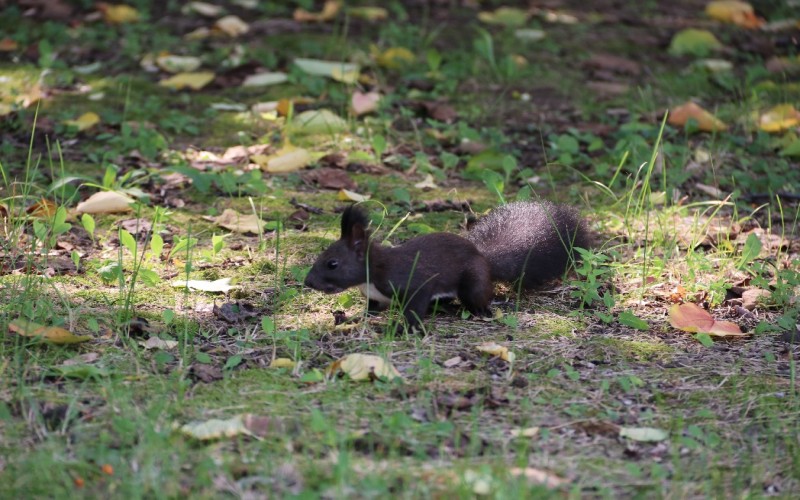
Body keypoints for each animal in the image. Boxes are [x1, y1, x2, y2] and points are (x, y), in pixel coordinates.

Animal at [304, 201, 588, 330]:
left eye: (332, 264)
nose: (308, 282)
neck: (371, 275)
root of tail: (484, 258)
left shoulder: (413, 284)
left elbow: (414, 309)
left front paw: (402, 327)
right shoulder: (376, 298)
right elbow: (371, 310)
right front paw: (351, 318)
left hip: (472, 281)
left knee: (479, 297)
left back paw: (483, 310)